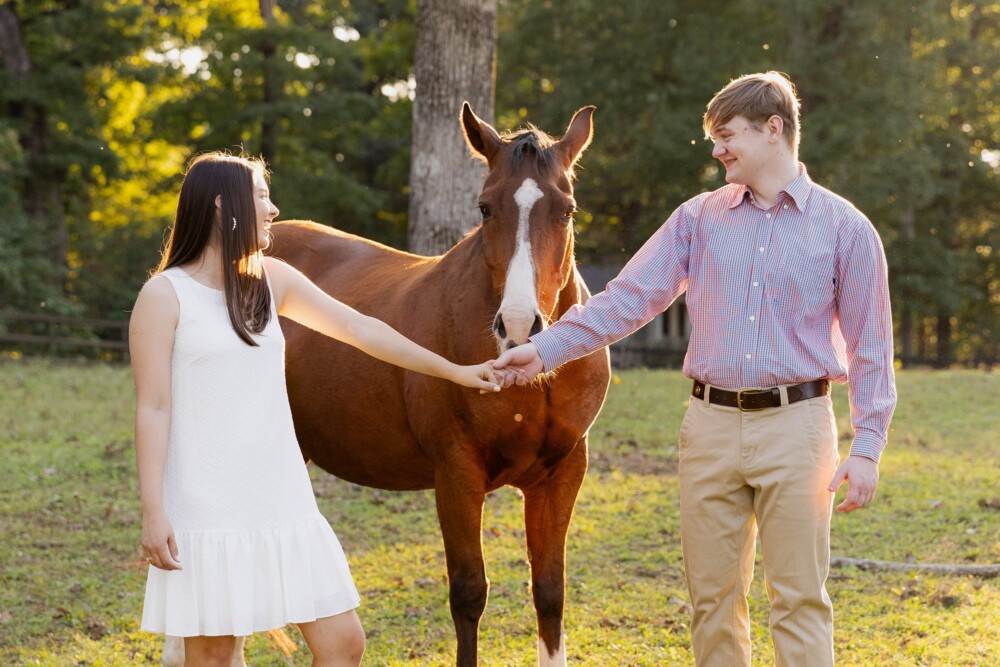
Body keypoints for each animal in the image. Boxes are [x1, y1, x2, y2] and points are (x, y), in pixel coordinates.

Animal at [268, 104, 608, 667]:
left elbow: (549, 591)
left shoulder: (561, 474)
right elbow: (469, 594)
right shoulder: (456, 474)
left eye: (568, 210)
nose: (519, 326)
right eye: (486, 208)